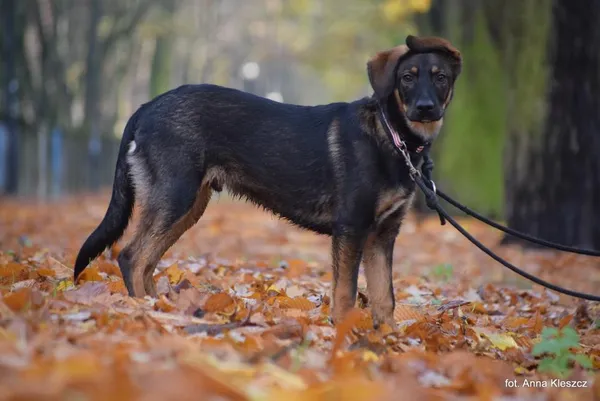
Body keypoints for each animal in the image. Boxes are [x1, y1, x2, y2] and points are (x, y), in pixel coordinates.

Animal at [72, 34, 462, 326]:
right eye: (407, 77)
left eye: (440, 77)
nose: (425, 108)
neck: (393, 136)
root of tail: (147, 107)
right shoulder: (351, 228)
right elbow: (346, 294)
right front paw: (344, 338)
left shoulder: (383, 234)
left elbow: (385, 298)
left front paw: (389, 342)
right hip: (175, 197)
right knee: (131, 257)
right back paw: (147, 313)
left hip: (187, 206)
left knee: (147, 262)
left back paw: (165, 311)